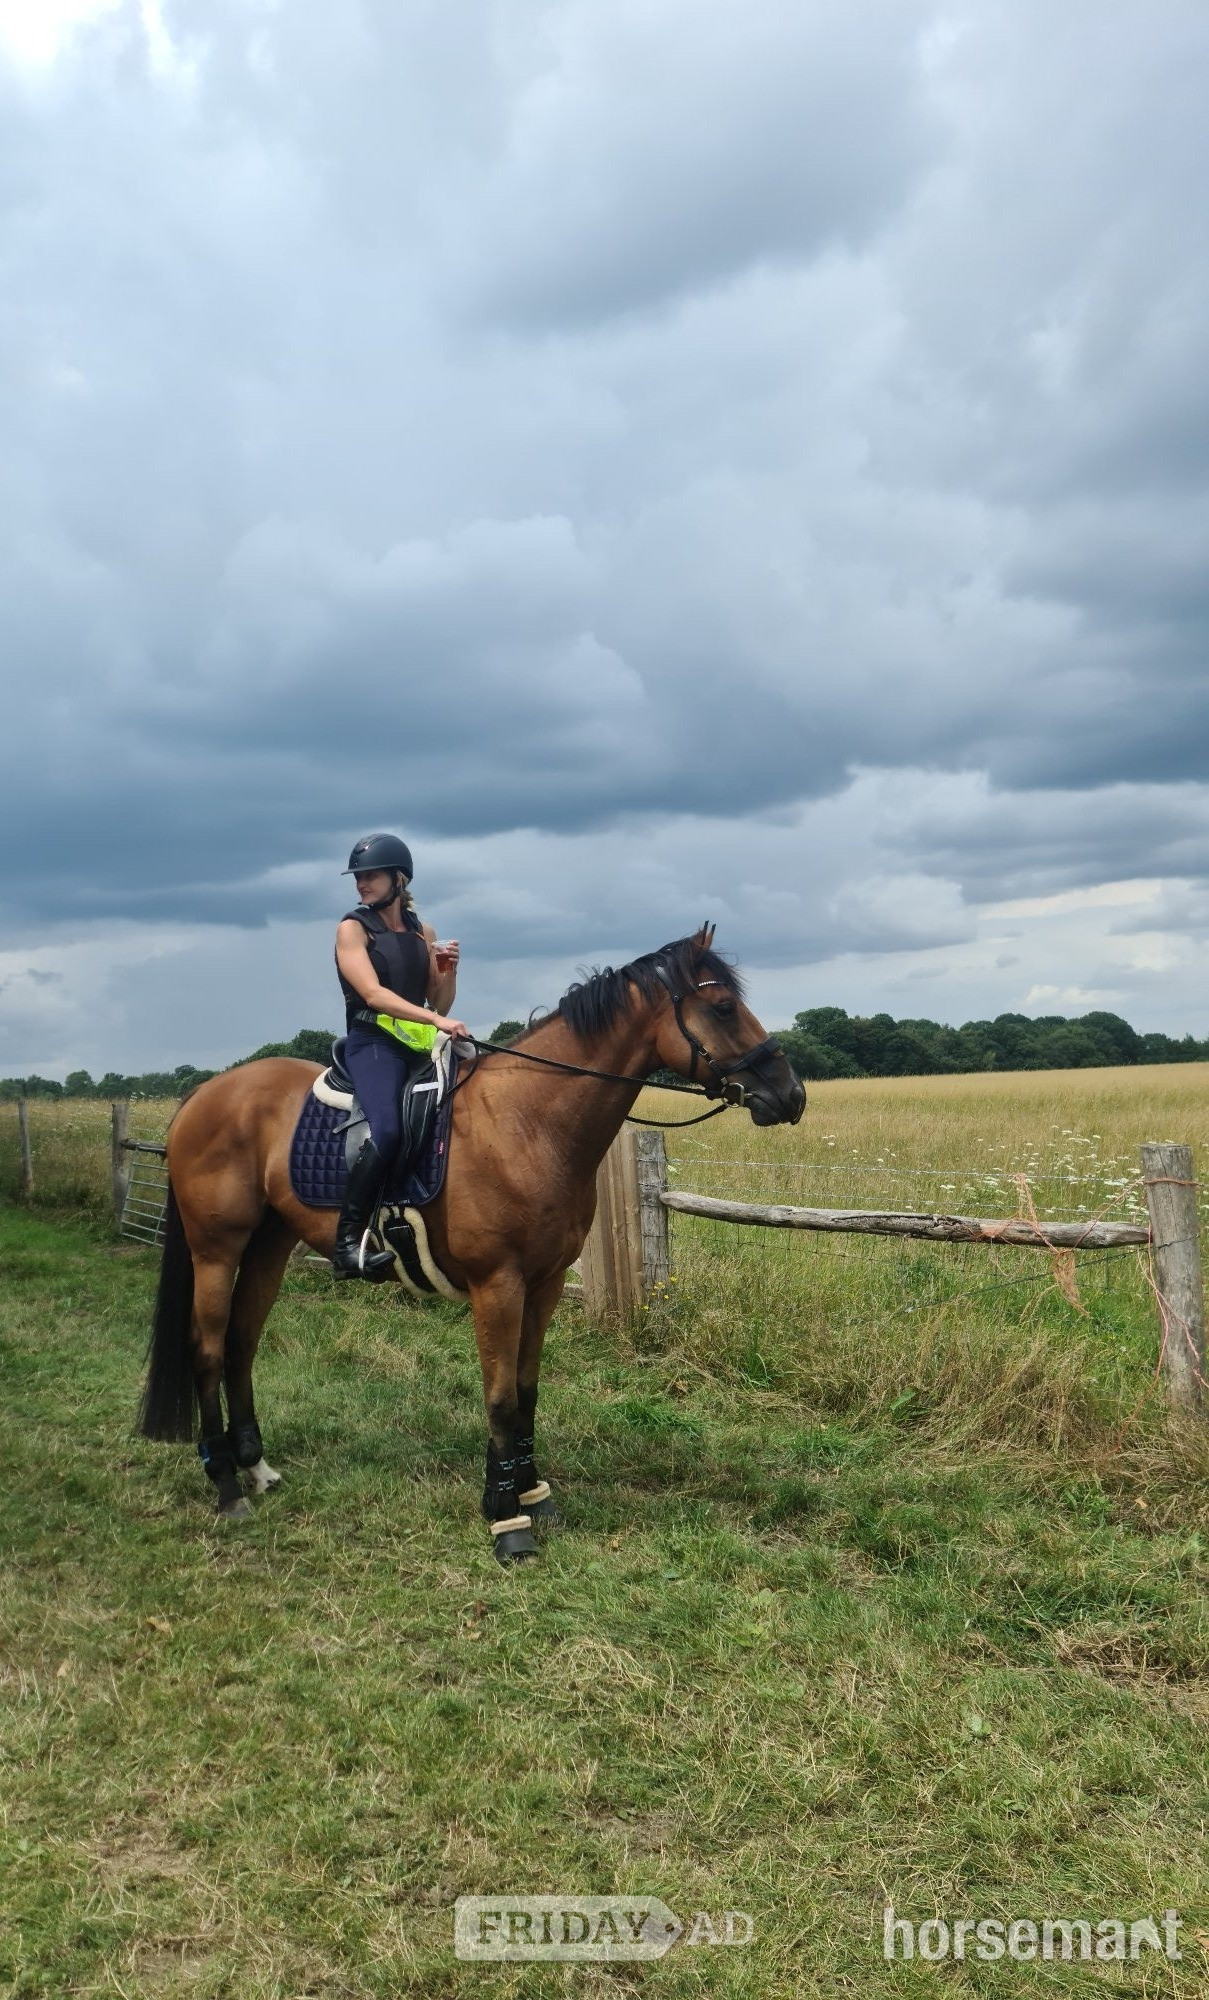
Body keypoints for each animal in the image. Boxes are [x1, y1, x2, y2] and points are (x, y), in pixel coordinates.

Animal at [139, 927, 805, 1560]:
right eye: (723, 1007)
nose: (792, 1094)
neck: (527, 1122)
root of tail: (204, 1094)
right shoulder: (498, 1285)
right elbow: (501, 1398)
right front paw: (506, 1520)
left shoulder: (544, 1284)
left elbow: (528, 1391)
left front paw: (533, 1494)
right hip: (217, 1249)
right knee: (207, 1350)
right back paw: (227, 1487)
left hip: (268, 1247)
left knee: (241, 1346)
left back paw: (256, 1467)